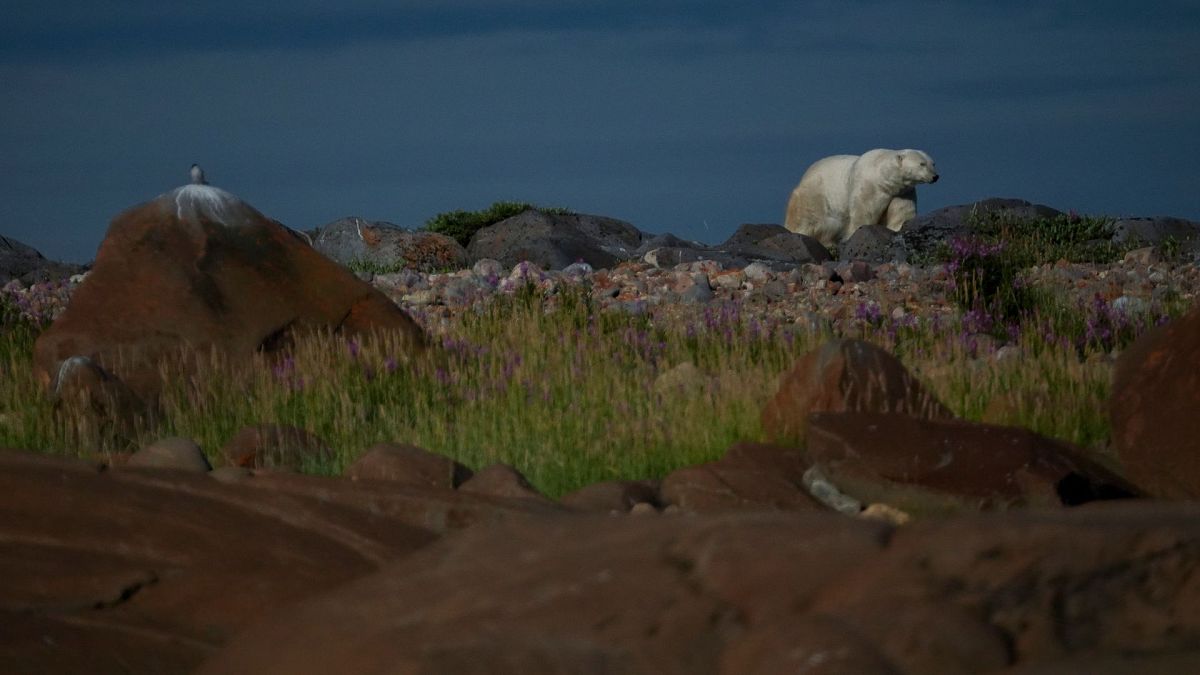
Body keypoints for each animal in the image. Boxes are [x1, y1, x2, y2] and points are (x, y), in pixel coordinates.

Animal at [782, 145, 940, 246]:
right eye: (922, 164)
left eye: (933, 163)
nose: (935, 176)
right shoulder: (869, 187)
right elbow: (864, 213)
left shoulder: (902, 192)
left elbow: (901, 214)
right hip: (814, 196)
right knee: (811, 220)